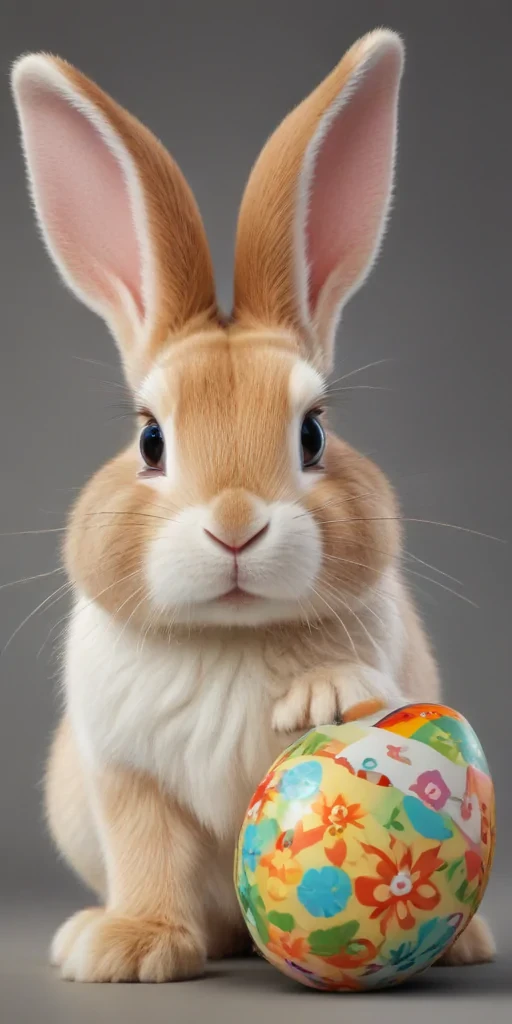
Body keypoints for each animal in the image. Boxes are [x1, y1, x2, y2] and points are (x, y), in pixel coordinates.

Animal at [11, 28, 494, 982]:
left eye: (312, 434)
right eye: (150, 440)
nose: (235, 526)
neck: (229, 638)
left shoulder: (392, 665)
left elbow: (368, 689)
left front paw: (320, 697)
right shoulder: (125, 778)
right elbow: (148, 853)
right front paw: (130, 948)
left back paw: (469, 946)